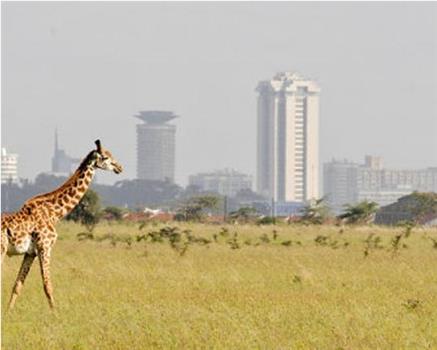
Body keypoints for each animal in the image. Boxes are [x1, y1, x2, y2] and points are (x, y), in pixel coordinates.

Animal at [1, 139, 122, 308]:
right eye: (105, 157)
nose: (119, 167)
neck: (55, 213)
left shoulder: (31, 252)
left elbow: (17, 285)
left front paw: (8, 311)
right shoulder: (45, 246)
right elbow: (47, 286)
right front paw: (55, 313)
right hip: (2, 249)